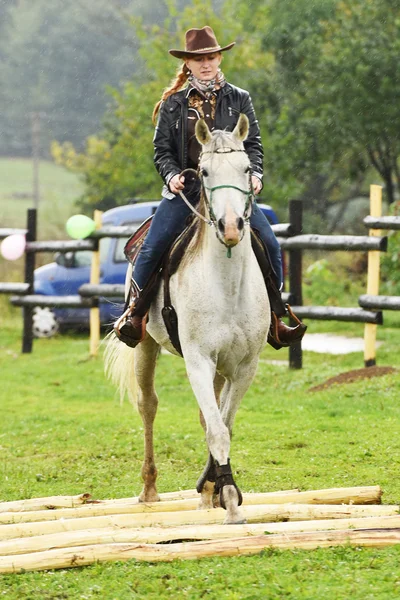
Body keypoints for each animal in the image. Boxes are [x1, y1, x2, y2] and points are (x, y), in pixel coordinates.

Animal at [104, 115, 270, 524]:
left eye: (247, 169)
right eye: (204, 172)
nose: (231, 227)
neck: (227, 286)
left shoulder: (244, 367)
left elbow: (222, 424)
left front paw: (218, 489)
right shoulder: (197, 360)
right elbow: (217, 430)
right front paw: (230, 500)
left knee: (204, 415)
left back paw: (206, 494)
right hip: (146, 346)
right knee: (148, 404)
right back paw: (149, 490)